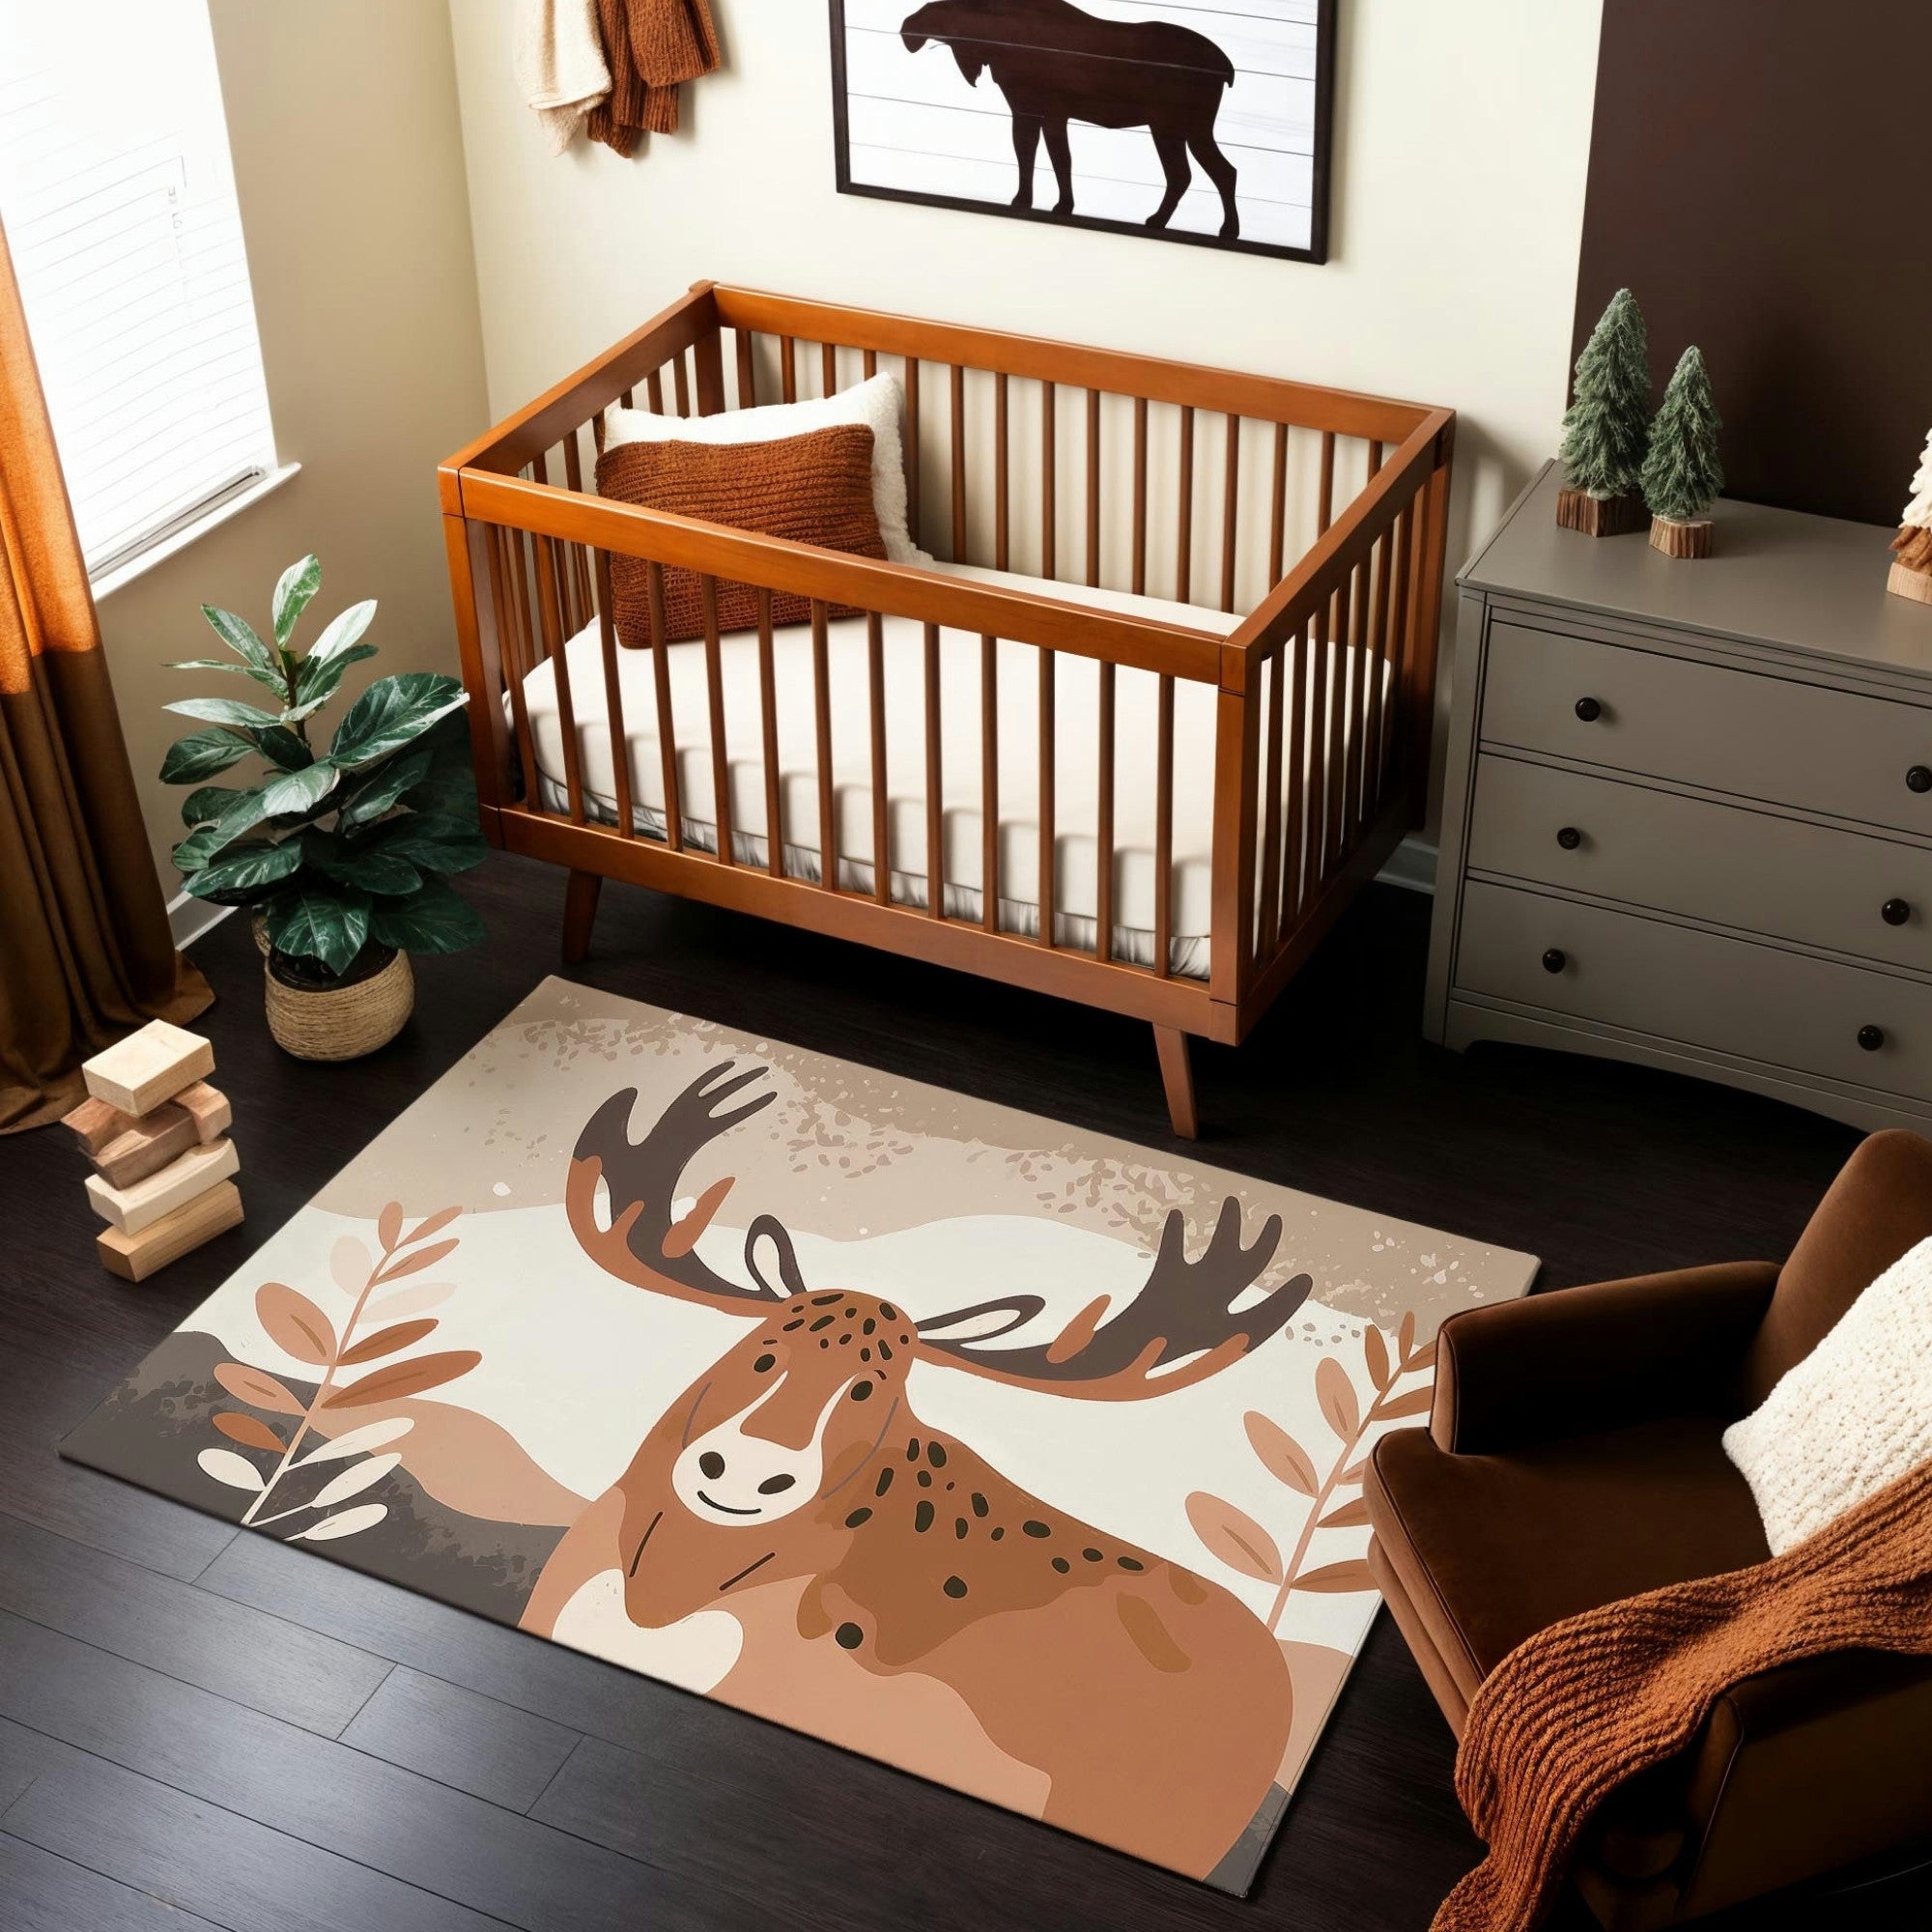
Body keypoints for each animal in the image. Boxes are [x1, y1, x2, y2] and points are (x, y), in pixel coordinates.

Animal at [900, 0, 1244, 240]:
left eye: (944, 6)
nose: (907, 25)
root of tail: (1228, 69)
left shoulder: (1045, 109)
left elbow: (1055, 159)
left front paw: (1053, 205)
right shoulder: (1031, 109)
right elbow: (1036, 156)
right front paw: (1032, 202)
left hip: (1172, 125)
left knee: (1193, 173)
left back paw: (1193, 226)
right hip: (1184, 128)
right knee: (1214, 171)